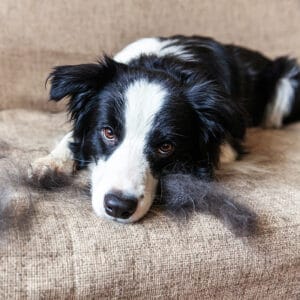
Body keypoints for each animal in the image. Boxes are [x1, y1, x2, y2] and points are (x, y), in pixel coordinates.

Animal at [28, 35, 300, 223]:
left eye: (166, 147)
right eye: (108, 132)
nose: (118, 207)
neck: (163, 64)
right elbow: (72, 137)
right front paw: (50, 164)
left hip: (288, 82)